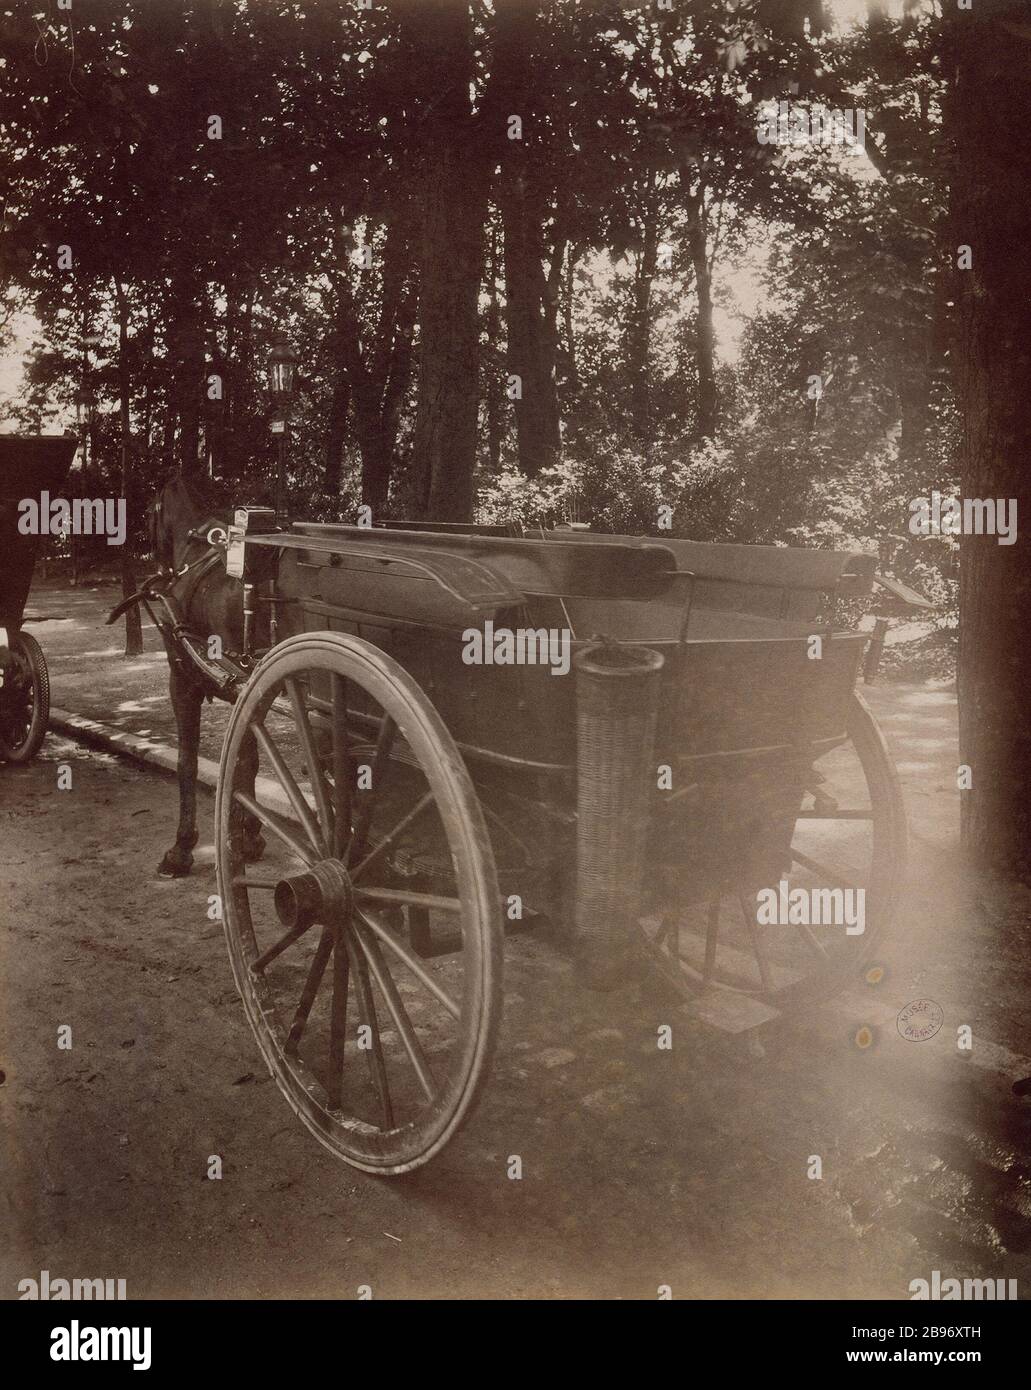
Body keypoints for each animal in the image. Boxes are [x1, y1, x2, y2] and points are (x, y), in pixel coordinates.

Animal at [145, 472, 266, 872]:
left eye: (149, 513)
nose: (158, 566)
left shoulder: (182, 679)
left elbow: (189, 761)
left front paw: (183, 846)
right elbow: (249, 760)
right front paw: (249, 834)